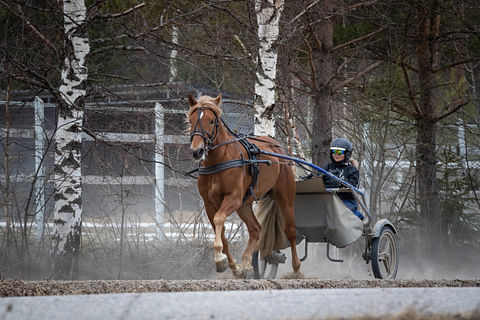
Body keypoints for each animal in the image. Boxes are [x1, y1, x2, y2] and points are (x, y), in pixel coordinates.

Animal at [187, 93, 300, 278]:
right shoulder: (209, 203)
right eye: (191, 120)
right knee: (256, 229)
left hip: (285, 197)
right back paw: (247, 264)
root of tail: (277, 147)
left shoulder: (233, 197)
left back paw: (296, 269)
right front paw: (233, 266)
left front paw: (219, 257)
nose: (197, 151)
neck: (219, 160)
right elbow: (221, 232)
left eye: (211, 121)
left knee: (290, 232)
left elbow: (219, 219)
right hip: (244, 205)